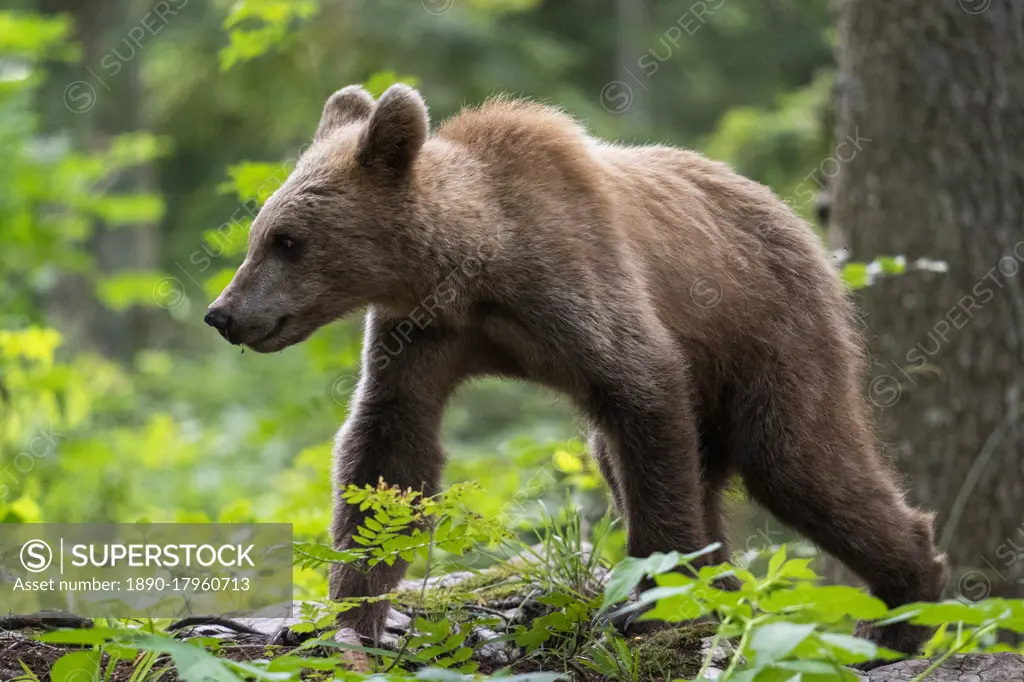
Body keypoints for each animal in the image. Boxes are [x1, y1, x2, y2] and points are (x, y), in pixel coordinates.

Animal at [203, 82, 946, 655]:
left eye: (287, 240)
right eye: (259, 234)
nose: (224, 313)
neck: (475, 265)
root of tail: (794, 217)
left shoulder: (578, 286)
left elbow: (643, 395)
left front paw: (654, 608)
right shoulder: (422, 337)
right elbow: (387, 453)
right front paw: (344, 619)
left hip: (771, 331)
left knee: (797, 460)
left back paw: (903, 611)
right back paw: (731, 590)